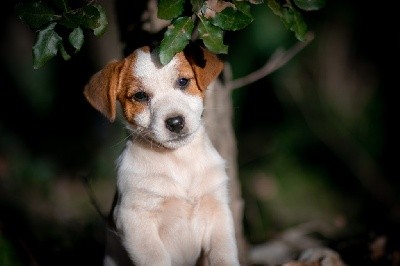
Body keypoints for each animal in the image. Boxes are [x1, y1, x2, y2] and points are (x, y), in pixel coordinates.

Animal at [84, 44, 239, 264]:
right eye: (140, 96)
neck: (179, 160)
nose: (175, 122)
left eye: (183, 82)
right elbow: (156, 258)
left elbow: (223, 255)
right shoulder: (135, 219)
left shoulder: (217, 210)